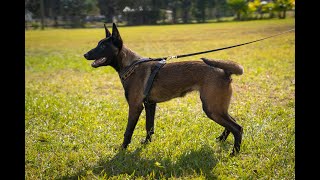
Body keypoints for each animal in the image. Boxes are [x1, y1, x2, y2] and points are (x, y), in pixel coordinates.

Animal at [84, 22, 244, 155]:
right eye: (98, 44)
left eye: (103, 46)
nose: (85, 54)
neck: (131, 66)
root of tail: (224, 71)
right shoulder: (149, 105)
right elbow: (149, 127)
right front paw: (146, 144)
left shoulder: (135, 107)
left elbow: (128, 131)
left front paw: (122, 149)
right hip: (218, 108)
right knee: (232, 123)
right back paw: (221, 139)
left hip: (212, 109)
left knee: (237, 128)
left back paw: (234, 153)